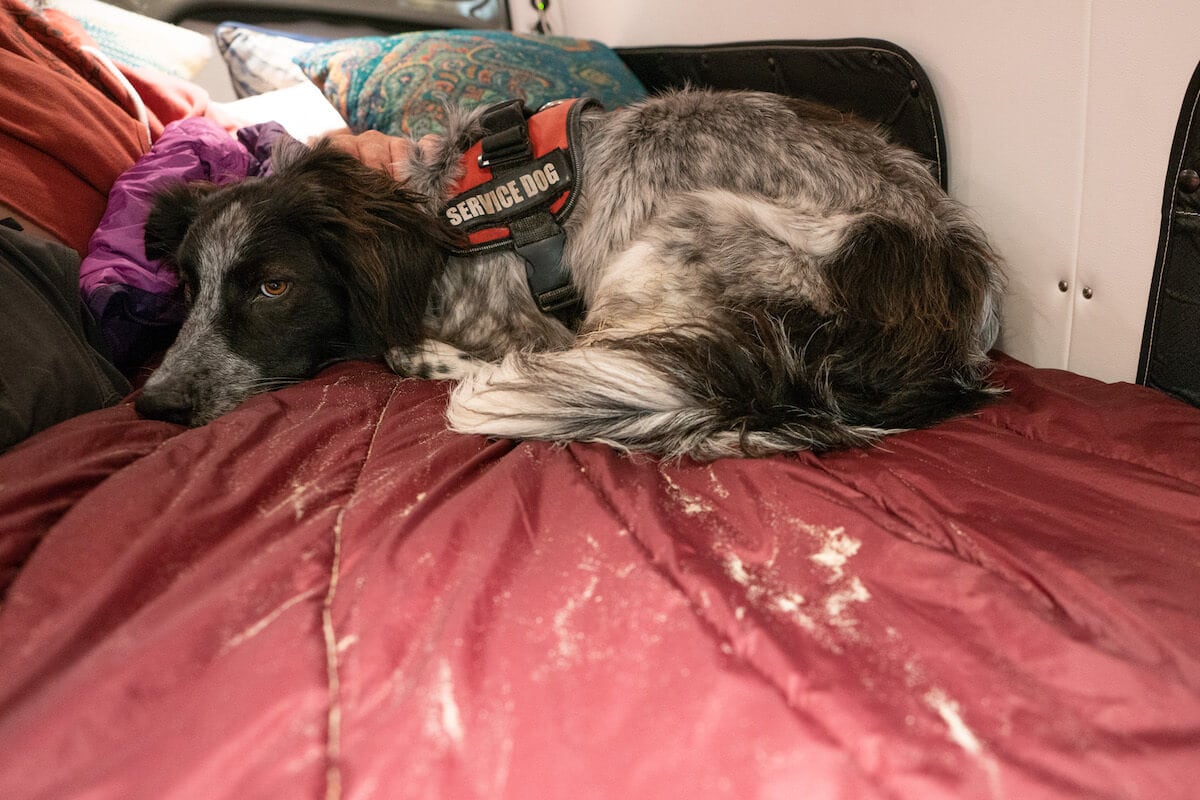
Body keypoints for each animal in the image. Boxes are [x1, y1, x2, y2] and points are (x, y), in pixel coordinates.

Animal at [138, 88, 1003, 460]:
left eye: (272, 285)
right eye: (186, 287)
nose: (151, 404)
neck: (431, 203)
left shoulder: (522, 321)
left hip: (679, 235)